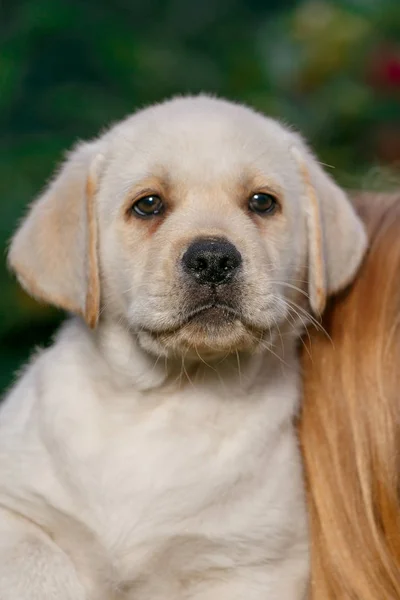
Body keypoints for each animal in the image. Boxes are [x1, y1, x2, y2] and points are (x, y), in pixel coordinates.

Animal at [0, 96, 366, 596]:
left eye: (262, 202)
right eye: (149, 204)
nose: (212, 259)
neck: (169, 396)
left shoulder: (251, 563)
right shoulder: (18, 509)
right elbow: (40, 566)